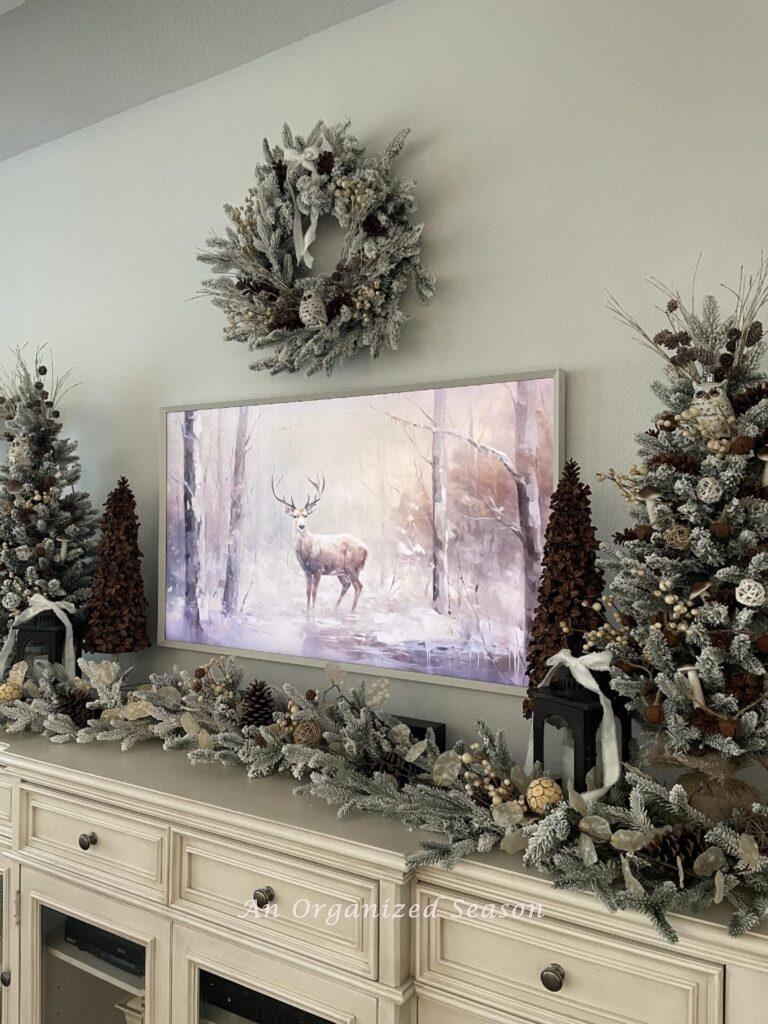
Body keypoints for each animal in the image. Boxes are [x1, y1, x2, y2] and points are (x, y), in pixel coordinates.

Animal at [270, 475, 370, 610]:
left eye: (306, 515)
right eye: (295, 516)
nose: (301, 526)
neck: (307, 552)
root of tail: (366, 548)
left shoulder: (319, 569)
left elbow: (314, 592)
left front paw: (312, 611)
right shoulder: (306, 572)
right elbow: (307, 592)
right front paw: (307, 611)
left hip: (352, 566)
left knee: (358, 586)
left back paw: (351, 611)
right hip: (342, 571)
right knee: (347, 584)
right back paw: (335, 609)